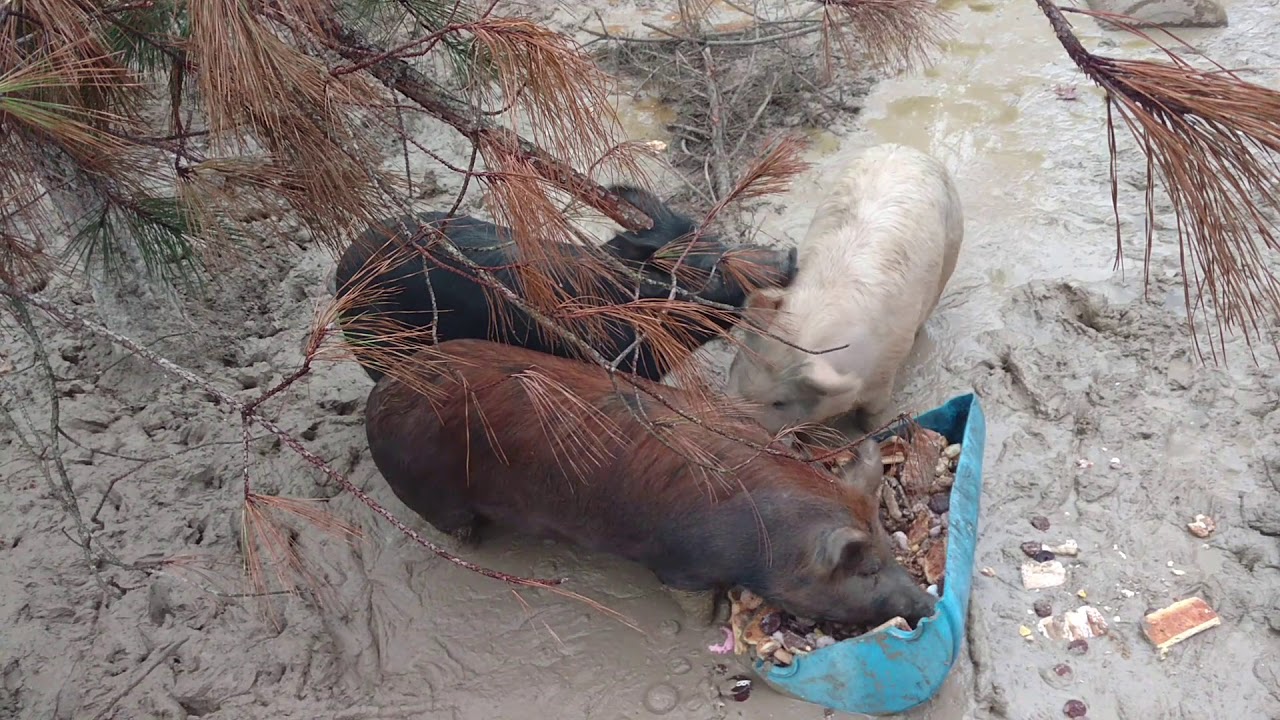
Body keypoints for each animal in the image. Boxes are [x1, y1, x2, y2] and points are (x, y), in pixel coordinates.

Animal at [363, 338, 938, 629]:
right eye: (866, 570)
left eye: (889, 551)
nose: (927, 605)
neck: (770, 538)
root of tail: (383, 391)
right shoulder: (680, 565)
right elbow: (692, 602)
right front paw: (716, 619)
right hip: (435, 493)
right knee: (453, 526)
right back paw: (474, 541)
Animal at [724, 143, 964, 435]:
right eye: (736, 363)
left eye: (779, 402)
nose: (726, 419)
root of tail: (907, 149)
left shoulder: (886, 371)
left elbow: (873, 414)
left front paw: (869, 431)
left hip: (951, 250)